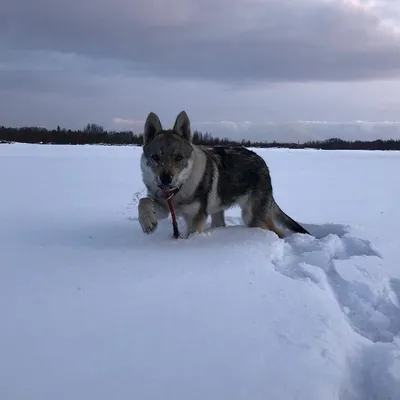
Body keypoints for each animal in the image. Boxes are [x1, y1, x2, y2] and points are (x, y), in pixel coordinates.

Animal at [138, 110, 310, 238]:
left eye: (178, 157)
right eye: (155, 157)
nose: (166, 178)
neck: (179, 191)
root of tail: (262, 161)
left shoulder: (196, 219)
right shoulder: (165, 207)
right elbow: (143, 202)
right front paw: (147, 223)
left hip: (251, 217)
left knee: (278, 232)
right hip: (220, 213)